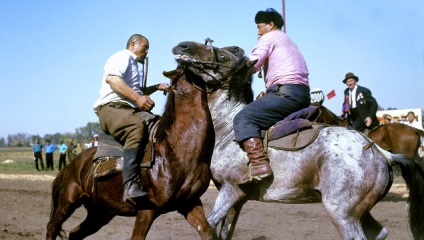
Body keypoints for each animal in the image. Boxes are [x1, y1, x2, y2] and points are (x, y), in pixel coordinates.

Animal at [47, 66, 225, 239]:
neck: (175, 149)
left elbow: (207, 231)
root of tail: (71, 165)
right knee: (52, 227)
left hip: (100, 213)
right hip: (68, 202)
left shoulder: (189, 203)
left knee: (74, 234)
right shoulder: (147, 209)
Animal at [171, 41, 424, 240]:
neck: (228, 127)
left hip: (343, 214)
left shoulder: (231, 190)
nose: (183, 46)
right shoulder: (238, 199)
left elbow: (208, 224)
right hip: (361, 212)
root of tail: (382, 153)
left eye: (222, 56)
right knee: (379, 232)